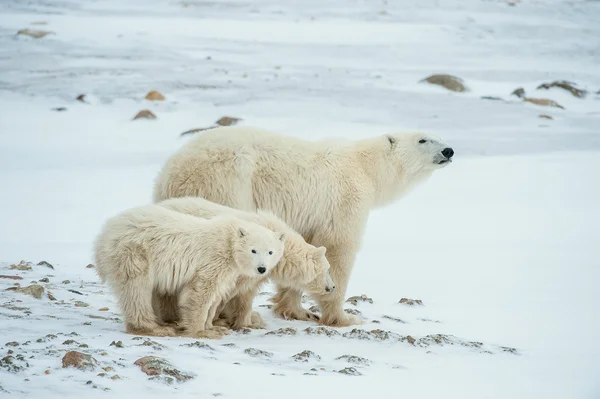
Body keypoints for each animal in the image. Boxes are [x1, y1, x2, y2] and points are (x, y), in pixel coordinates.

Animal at [94, 205, 286, 340]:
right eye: (253, 250)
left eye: (270, 252)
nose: (262, 268)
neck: (228, 242)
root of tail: (104, 233)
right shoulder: (213, 259)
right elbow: (200, 292)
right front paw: (201, 332)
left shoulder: (228, 271)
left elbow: (215, 296)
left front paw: (214, 327)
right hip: (134, 253)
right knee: (137, 290)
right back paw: (155, 328)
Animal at [156, 197, 338, 332]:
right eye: (327, 269)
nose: (332, 287)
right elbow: (227, 293)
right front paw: (222, 321)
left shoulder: (256, 272)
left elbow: (245, 294)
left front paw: (246, 321)